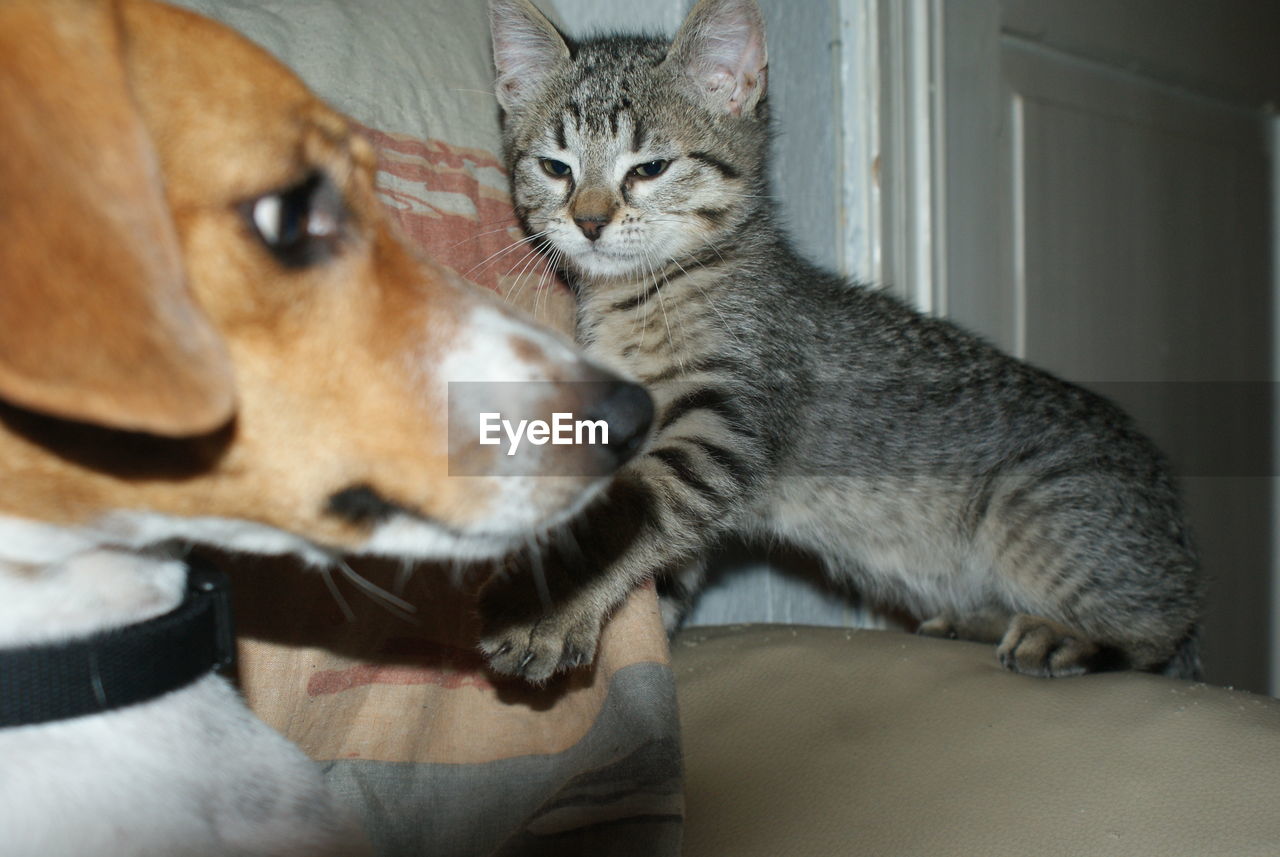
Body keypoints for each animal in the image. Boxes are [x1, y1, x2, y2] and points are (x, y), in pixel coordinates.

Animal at [478, 0, 1198, 685]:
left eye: (649, 168)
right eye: (555, 168)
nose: (589, 221)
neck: (645, 294)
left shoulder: (719, 426)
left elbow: (635, 515)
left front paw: (546, 612)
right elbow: (664, 560)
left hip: (1037, 513)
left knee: (1160, 629)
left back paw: (1064, 634)